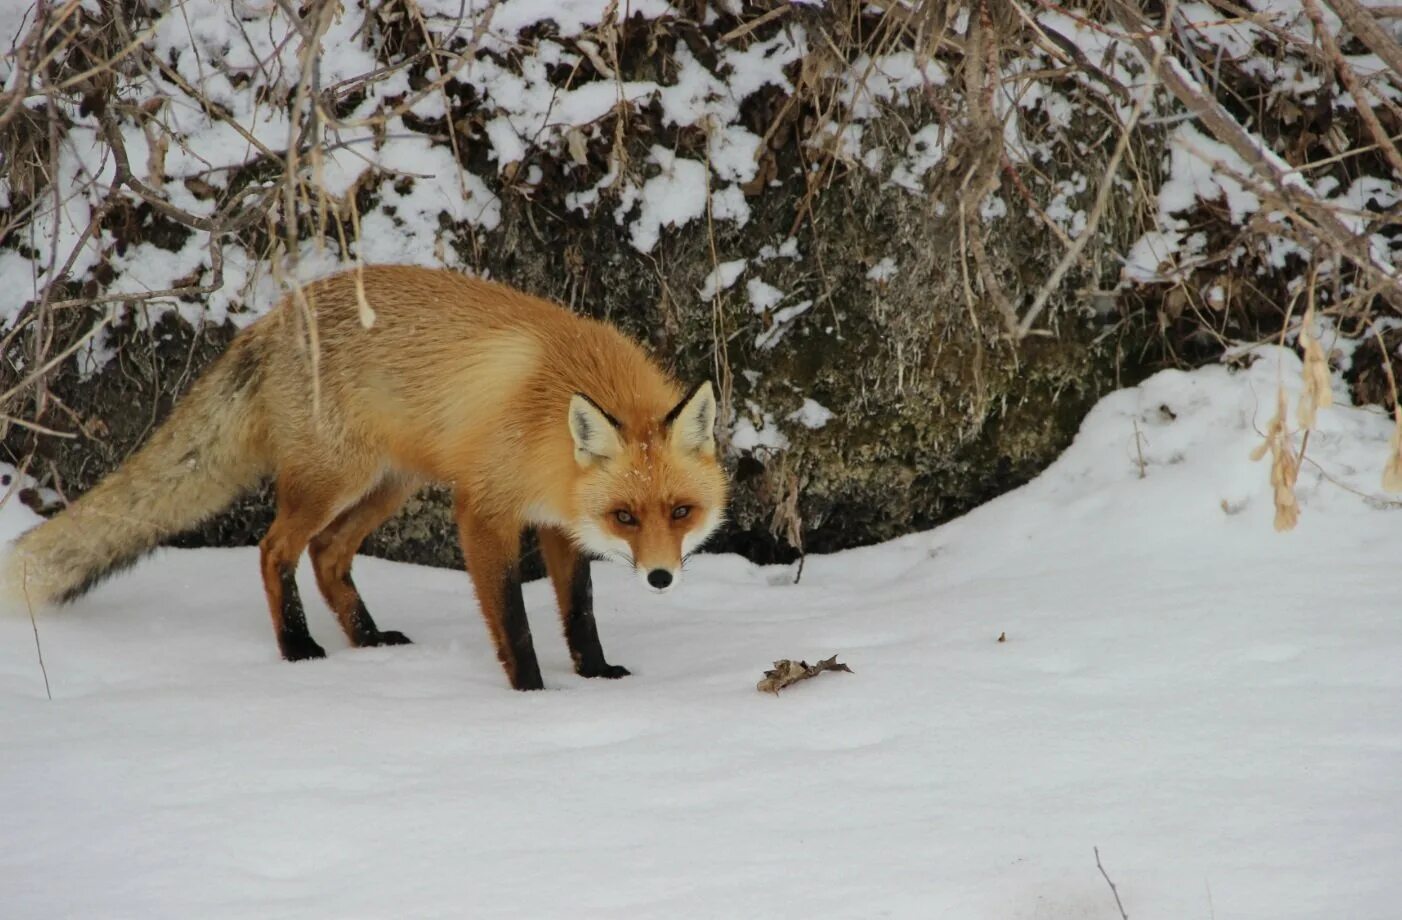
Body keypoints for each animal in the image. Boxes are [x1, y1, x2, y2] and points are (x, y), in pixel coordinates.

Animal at [0, 266, 723, 690]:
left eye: (679, 512)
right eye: (625, 517)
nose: (661, 578)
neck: (549, 418)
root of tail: (271, 317)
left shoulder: (558, 524)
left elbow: (579, 613)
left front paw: (598, 676)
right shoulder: (482, 510)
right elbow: (513, 621)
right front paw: (532, 695)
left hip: (388, 485)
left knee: (327, 554)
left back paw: (368, 640)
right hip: (334, 481)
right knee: (276, 550)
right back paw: (297, 646)